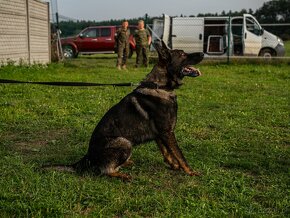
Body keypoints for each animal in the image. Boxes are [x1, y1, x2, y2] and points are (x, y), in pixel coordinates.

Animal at [55, 41, 204, 181]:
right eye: (183, 54)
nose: (203, 53)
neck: (159, 86)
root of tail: (88, 156)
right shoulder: (167, 133)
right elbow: (179, 154)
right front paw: (190, 171)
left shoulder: (160, 134)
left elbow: (167, 152)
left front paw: (174, 166)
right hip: (125, 142)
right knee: (105, 170)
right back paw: (123, 175)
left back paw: (126, 163)